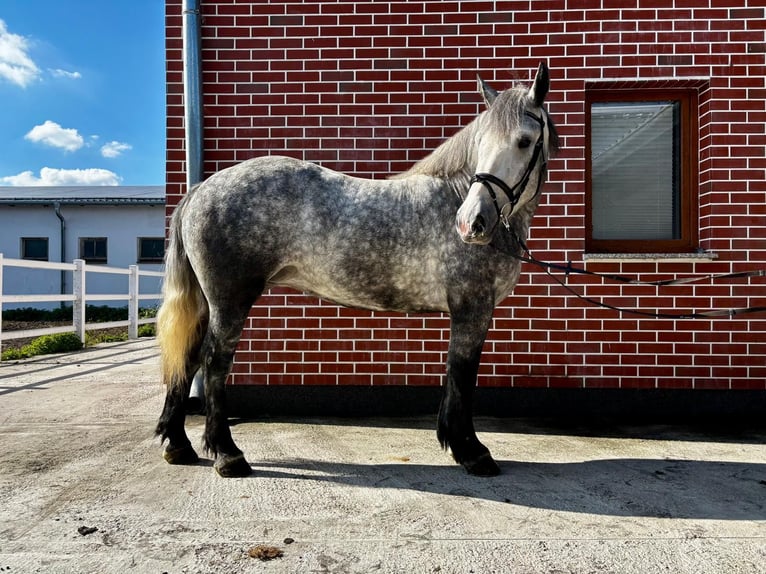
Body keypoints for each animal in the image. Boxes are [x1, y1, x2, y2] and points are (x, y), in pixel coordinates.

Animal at [155, 62, 558, 478]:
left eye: (524, 141)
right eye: (481, 143)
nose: (471, 223)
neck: (455, 195)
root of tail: (201, 189)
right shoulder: (472, 309)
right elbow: (463, 376)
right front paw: (472, 451)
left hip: (209, 303)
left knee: (186, 358)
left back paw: (179, 444)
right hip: (231, 300)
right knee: (213, 363)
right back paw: (227, 454)